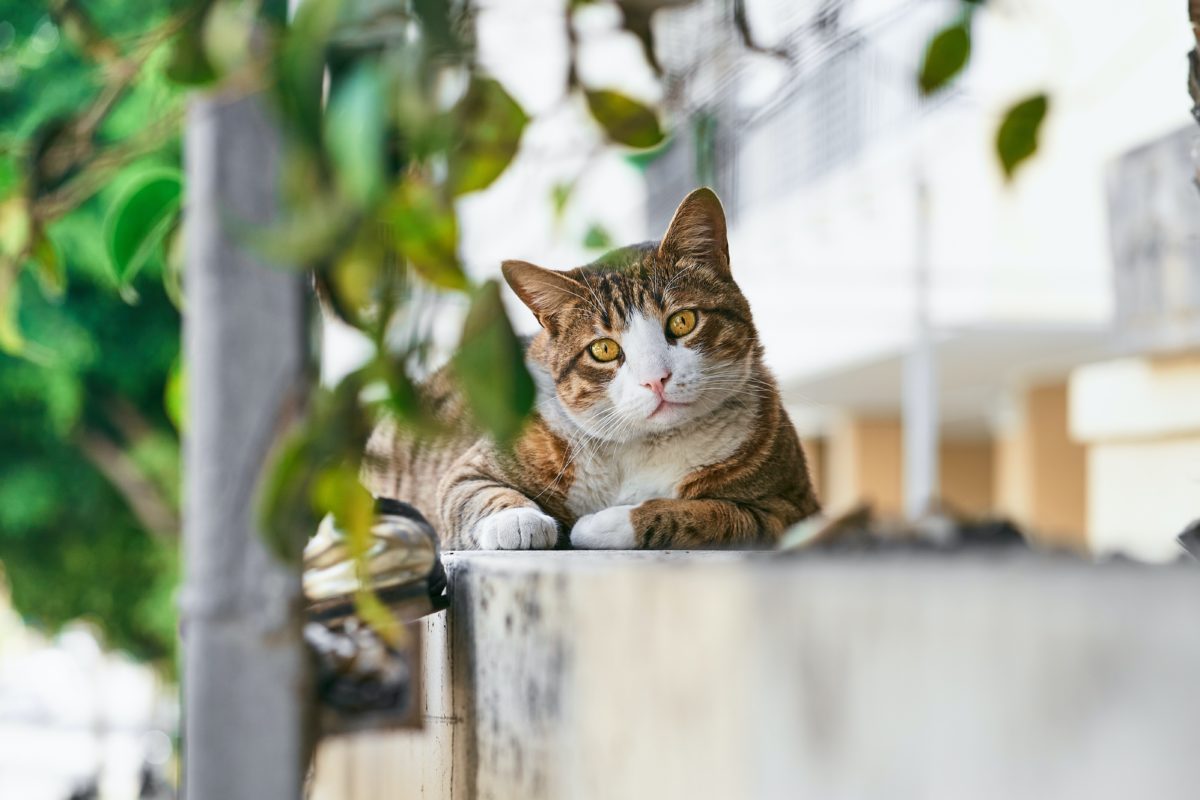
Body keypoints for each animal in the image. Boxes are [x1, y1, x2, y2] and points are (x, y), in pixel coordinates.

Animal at [360, 188, 820, 551]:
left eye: (682, 321)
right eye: (603, 349)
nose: (656, 379)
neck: (647, 444)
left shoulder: (789, 512)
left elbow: (712, 514)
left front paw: (608, 523)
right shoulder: (474, 465)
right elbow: (472, 490)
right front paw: (517, 520)